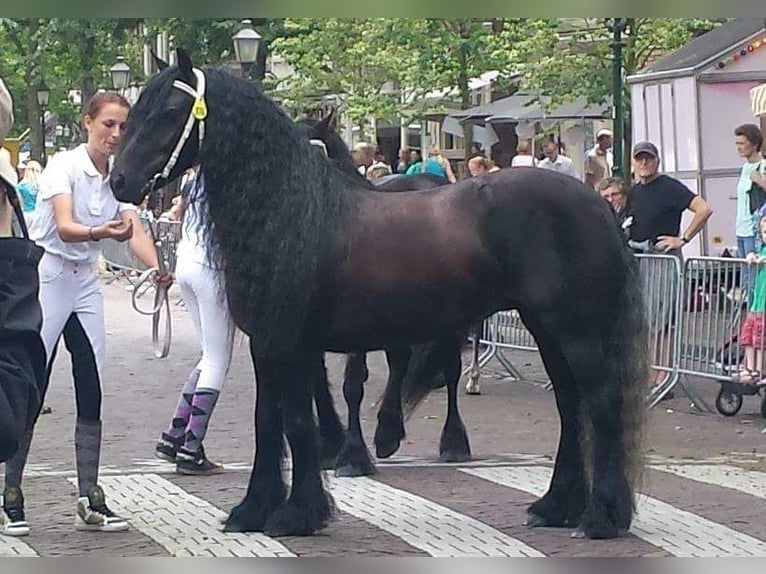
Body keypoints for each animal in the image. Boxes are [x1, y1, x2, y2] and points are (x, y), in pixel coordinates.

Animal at [110, 50, 648, 540]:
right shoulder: (268, 345)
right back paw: (556, 507)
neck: (291, 212)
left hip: (574, 330)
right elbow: (269, 421)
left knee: (601, 403)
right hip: (545, 328)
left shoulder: (291, 345)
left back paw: (601, 517)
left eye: (169, 111)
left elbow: (297, 422)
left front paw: (297, 514)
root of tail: (598, 204)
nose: (120, 180)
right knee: (570, 406)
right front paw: (254, 510)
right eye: (137, 111)